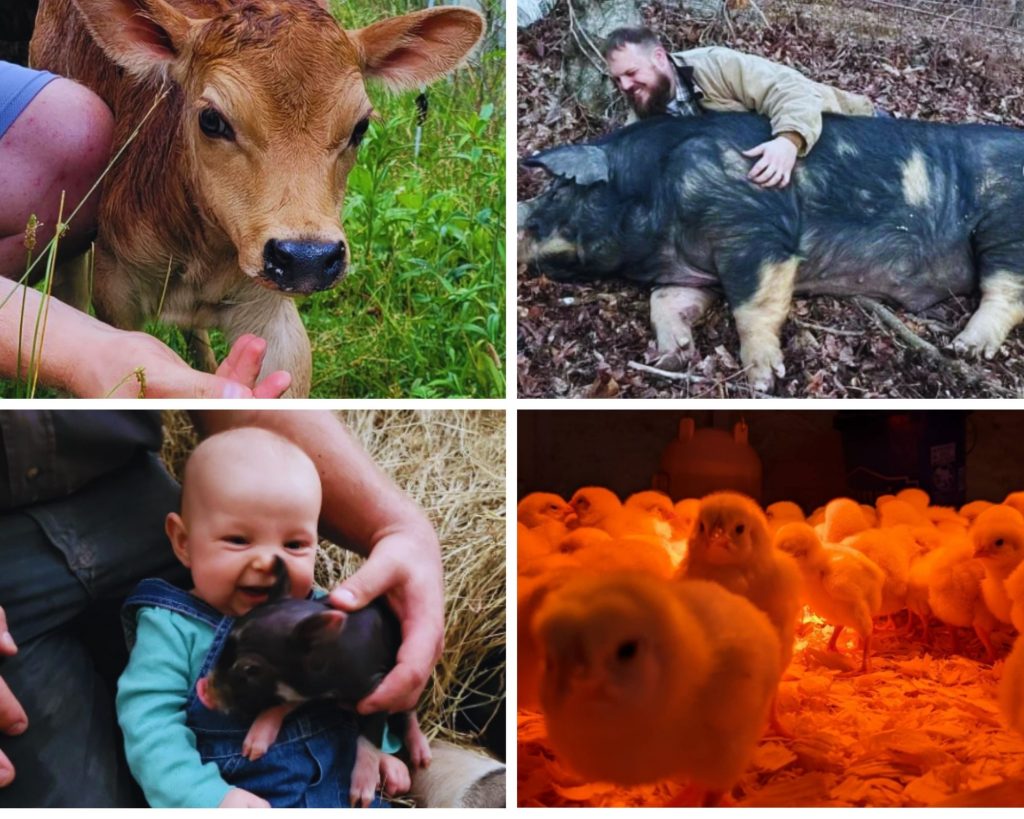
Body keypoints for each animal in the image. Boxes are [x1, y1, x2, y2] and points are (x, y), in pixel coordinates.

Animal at [28, 0, 483, 397]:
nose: (307, 258)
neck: (200, 255)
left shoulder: (271, 311)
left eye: (360, 127)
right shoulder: (116, 293)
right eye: (212, 119)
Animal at [520, 112, 1024, 393]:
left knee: (1006, 289)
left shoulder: (754, 229)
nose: (520, 217)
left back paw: (966, 349)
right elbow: (663, 301)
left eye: (558, 191)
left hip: (1006, 224)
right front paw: (673, 356)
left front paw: (764, 379)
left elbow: (752, 304)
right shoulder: (687, 270)